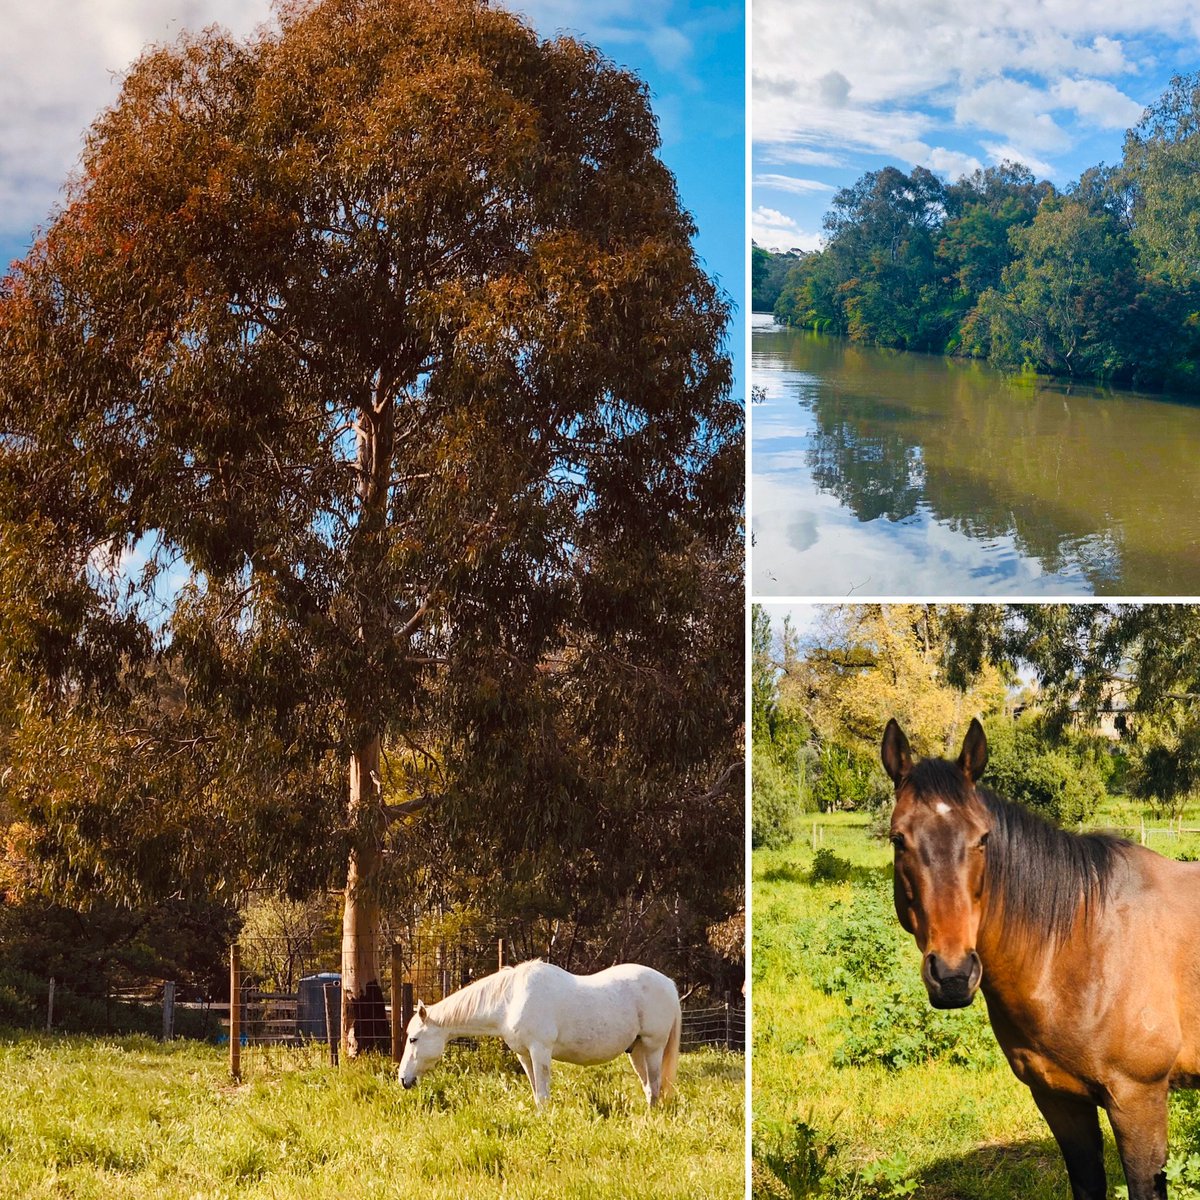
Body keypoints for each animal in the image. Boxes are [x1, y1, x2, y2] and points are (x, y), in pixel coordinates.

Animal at [397, 959, 682, 1107]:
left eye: (413, 1039)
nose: (403, 1079)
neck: (511, 998)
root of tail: (669, 984)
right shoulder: (524, 1055)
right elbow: (536, 1094)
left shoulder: (540, 1051)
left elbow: (544, 1095)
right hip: (636, 1051)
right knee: (649, 1088)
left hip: (653, 1047)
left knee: (655, 1085)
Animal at [882, 716, 1200, 1200]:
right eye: (899, 839)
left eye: (983, 838)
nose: (953, 975)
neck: (1083, 946)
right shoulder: (1058, 1099)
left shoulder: (1138, 1100)